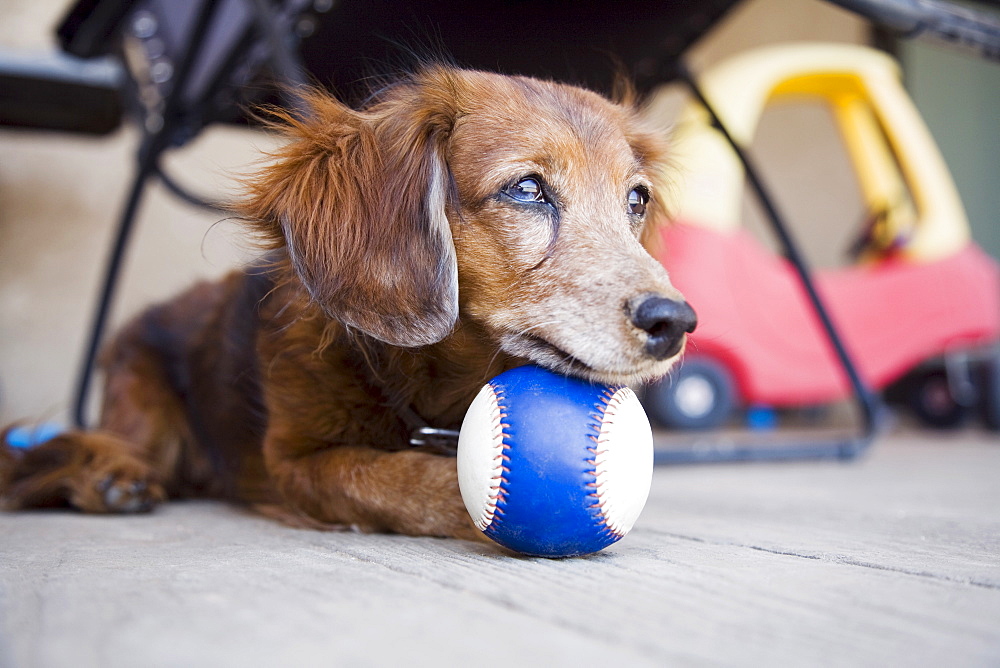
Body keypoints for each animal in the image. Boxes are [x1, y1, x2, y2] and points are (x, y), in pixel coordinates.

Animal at [1, 65, 696, 540]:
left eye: (636, 200)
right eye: (527, 189)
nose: (676, 322)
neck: (431, 386)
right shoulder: (296, 462)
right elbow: (392, 477)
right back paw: (110, 476)